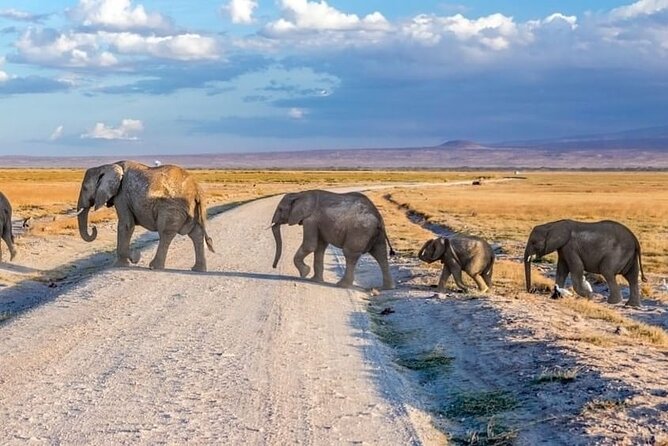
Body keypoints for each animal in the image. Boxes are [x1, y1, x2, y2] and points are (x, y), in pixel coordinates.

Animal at [77, 161, 214, 271]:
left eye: (85, 188)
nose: (94, 228)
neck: (107, 166)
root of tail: (196, 189)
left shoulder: (122, 195)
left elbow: (126, 225)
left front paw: (130, 259)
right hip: (192, 210)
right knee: (196, 233)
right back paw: (198, 269)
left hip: (171, 208)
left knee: (166, 233)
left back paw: (154, 267)